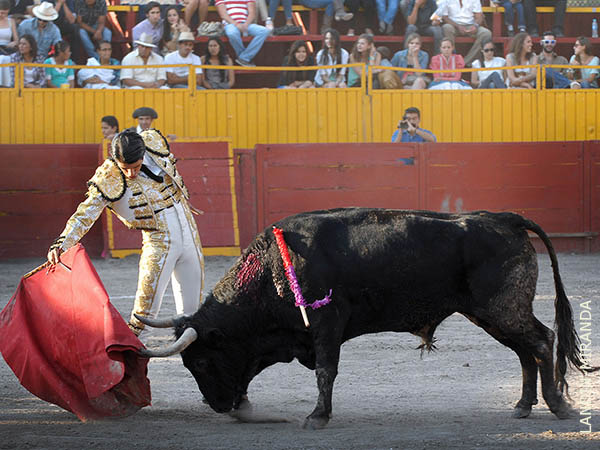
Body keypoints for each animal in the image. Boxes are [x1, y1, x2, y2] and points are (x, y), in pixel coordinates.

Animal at [137, 208, 589, 429]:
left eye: (201, 361)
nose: (216, 405)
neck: (271, 269)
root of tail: (507, 219)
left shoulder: (326, 324)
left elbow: (325, 370)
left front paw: (317, 417)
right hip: (490, 313)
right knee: (525, 351)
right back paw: (523, 405)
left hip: (503, 308)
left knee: (541, 341)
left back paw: (558, 406)